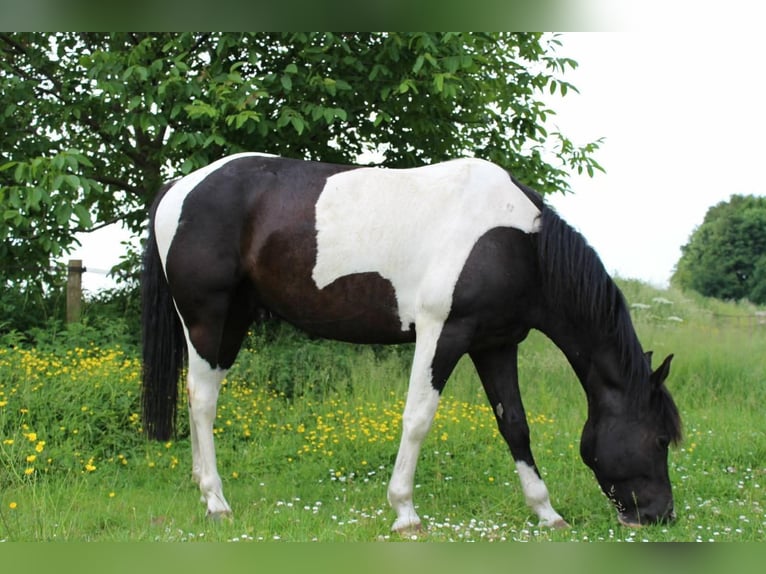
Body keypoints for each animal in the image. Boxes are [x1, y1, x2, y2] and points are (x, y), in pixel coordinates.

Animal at [141, 152, 682, 531]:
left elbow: (515, 425)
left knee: (199, 397)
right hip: (208, 317)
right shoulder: (443, 332)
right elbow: (418, 419)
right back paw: (217, 502)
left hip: (231, 320)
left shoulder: (496, 344)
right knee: (203, 401)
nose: (660, 515)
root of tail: (177, 187)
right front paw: (404, 512)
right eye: (660, 439)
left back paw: (202, 489)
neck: (515, 242)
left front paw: (546, 513)